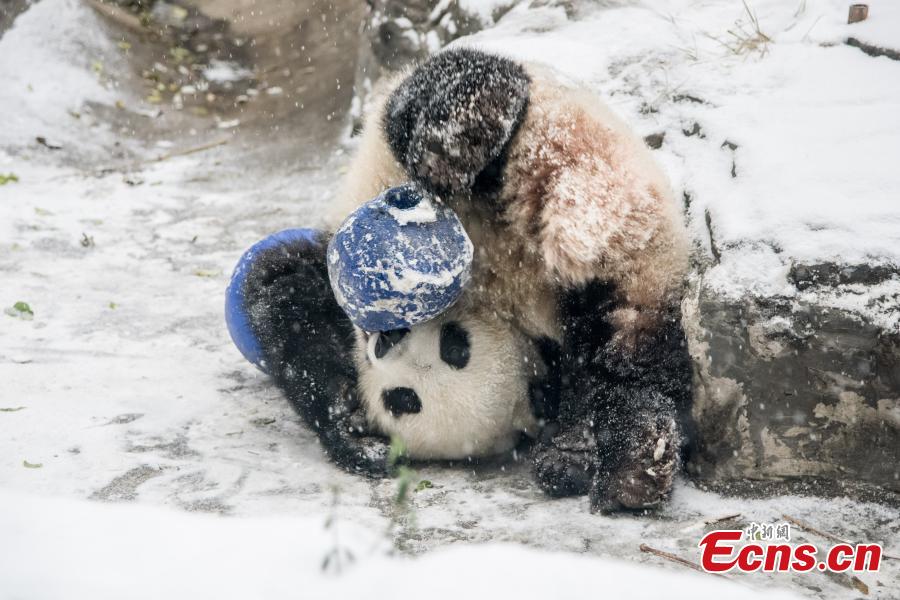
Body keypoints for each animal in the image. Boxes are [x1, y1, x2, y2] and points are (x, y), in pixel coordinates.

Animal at [243, 49, 692, 512]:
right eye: (402, 398)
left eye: (455, 347)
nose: (387, 340)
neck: (491, 306)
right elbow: (286, 299)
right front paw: (351, 425)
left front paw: (572, 455)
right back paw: (631, 469)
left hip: (615, 230)